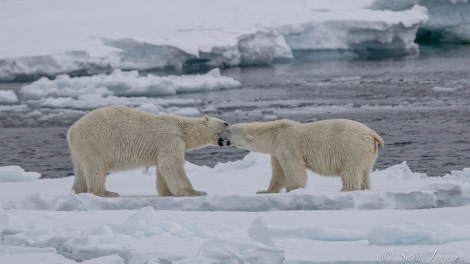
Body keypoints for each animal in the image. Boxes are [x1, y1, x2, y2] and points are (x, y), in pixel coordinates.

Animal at [68, 105, 229, 196]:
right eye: (225, 123)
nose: (229, 123)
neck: (183, 128)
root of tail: (71, 130)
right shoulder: (171, 139)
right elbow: (171, 166)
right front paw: (196, 192)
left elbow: (162, 169)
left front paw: (167, 192)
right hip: (96, 141)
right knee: (96, 167)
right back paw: (106, 192)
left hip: (79, 148)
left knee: (80, 168)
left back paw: (79, 190)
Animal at [218, 119, 384, 192]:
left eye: (229, 130)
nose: (219, 133)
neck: (274, 133)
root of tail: (372, 134)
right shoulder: (276, 151)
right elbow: (278, 172)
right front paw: (264, 191)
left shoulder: (288, 144)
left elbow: (293, 167)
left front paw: (292, 189)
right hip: (367, 153)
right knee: (365, 171)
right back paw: (365, 188)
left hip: (352, 148)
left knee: (351, 170)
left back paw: (345, 189)